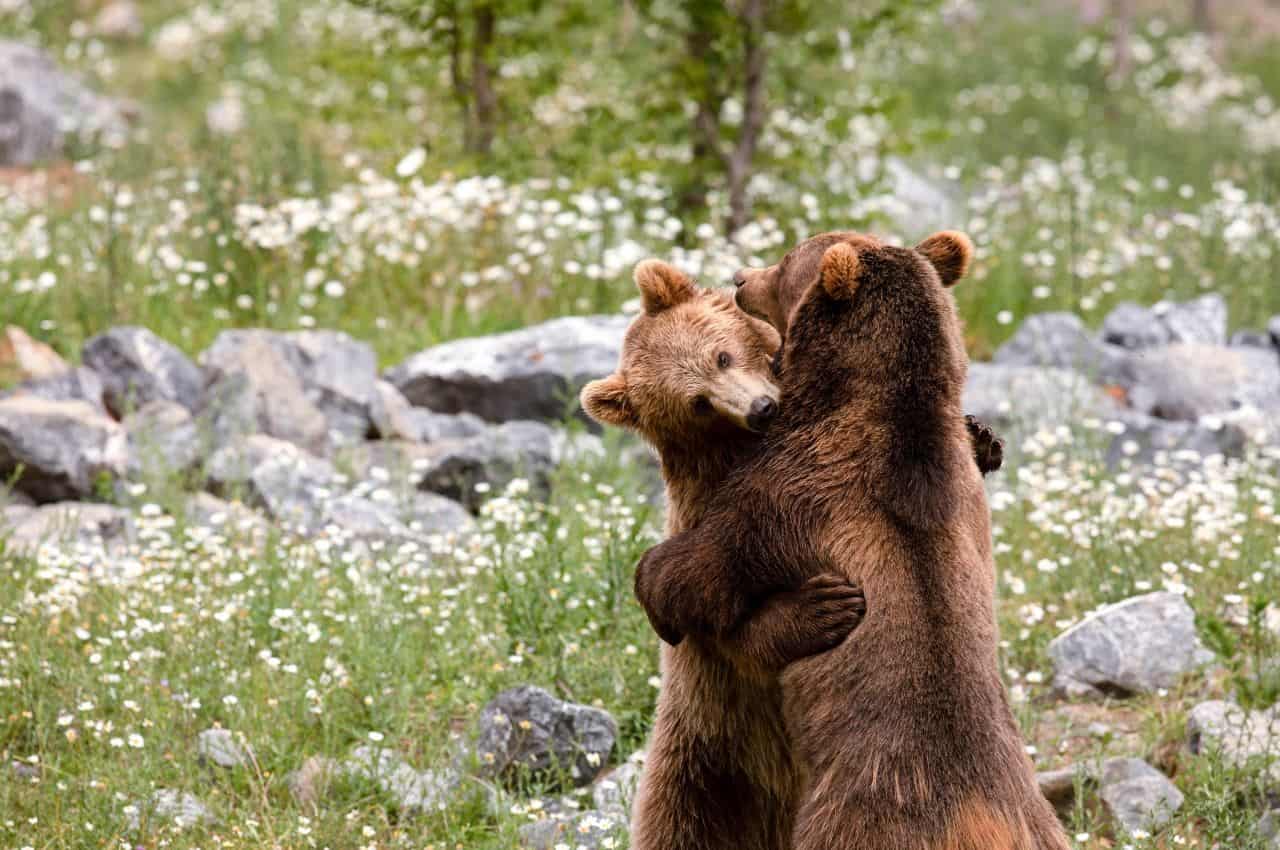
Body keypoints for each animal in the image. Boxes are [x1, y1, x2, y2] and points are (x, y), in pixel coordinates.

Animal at [632, 230, 1070, 850]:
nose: (740, 278)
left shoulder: (787, 493)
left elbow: (702, 571)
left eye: (786, 260)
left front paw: (655, 582)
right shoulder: (960, 492)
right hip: (1036, 819)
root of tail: (972, 820)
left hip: (852, 813)